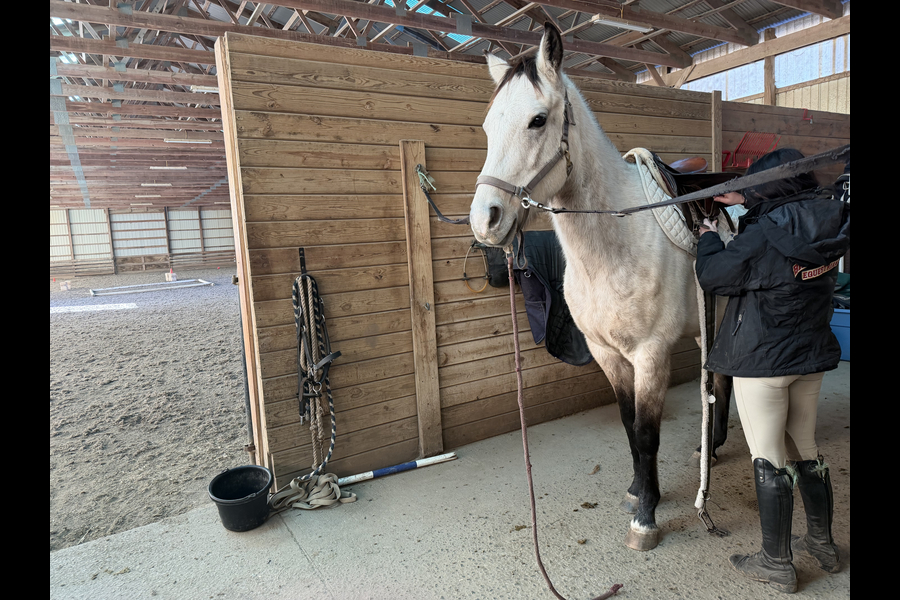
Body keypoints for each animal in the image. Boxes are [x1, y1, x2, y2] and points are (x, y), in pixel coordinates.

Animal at [468, 23, 733, 551]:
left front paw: (646, 519)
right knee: (717, 383)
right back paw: (709, 450)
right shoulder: (607, 354)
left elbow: (648, 433)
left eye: (537, 120)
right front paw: (638, 490)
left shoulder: (650, 355)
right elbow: (629, 427)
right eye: (488, 127)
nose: (485, 220)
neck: (613, 247)